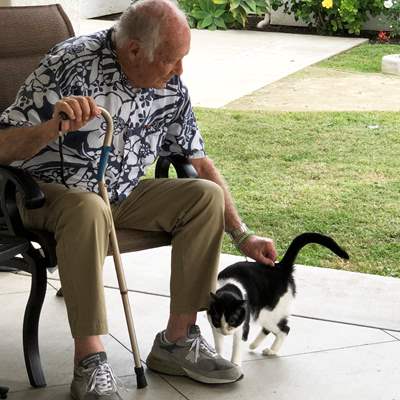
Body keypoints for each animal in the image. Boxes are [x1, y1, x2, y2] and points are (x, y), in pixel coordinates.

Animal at [208, 231, 348, 366]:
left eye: (232, 320)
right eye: (216, 320)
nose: (225, 331)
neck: (230, 286)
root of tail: (280, 268)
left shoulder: (243, 326)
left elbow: (237, 349)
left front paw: (235, 365)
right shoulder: (215, 327)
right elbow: (218, 346)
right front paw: (219, 358)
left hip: (270, 314)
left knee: (285, 329)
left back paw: (271, 350)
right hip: (265, 315)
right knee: (270, 329)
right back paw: (254, 345)